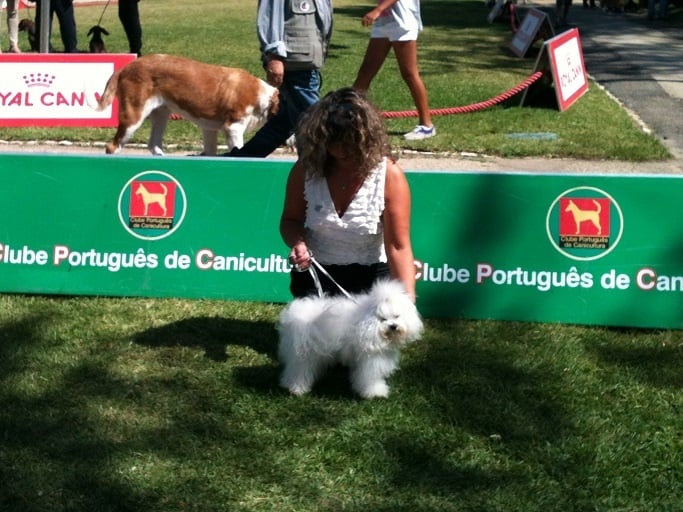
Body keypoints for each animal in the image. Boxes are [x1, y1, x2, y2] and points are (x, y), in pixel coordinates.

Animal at [93, 54, 279, 156]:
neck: (262, 97)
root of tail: (125, 68)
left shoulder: (209, 129)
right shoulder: (233, 128)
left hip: (161, 114)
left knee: (153, 144)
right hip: (133, 117)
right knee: (112, 147)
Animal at [277, 280, 423, 399]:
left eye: (397, 316)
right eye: (383, 319)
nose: (393, 326)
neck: (369, 324)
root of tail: (295, 314)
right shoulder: (371, 359)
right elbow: (370, 378)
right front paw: (375, 393)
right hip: (304, 353)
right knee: (298, 370)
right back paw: (296, 388)